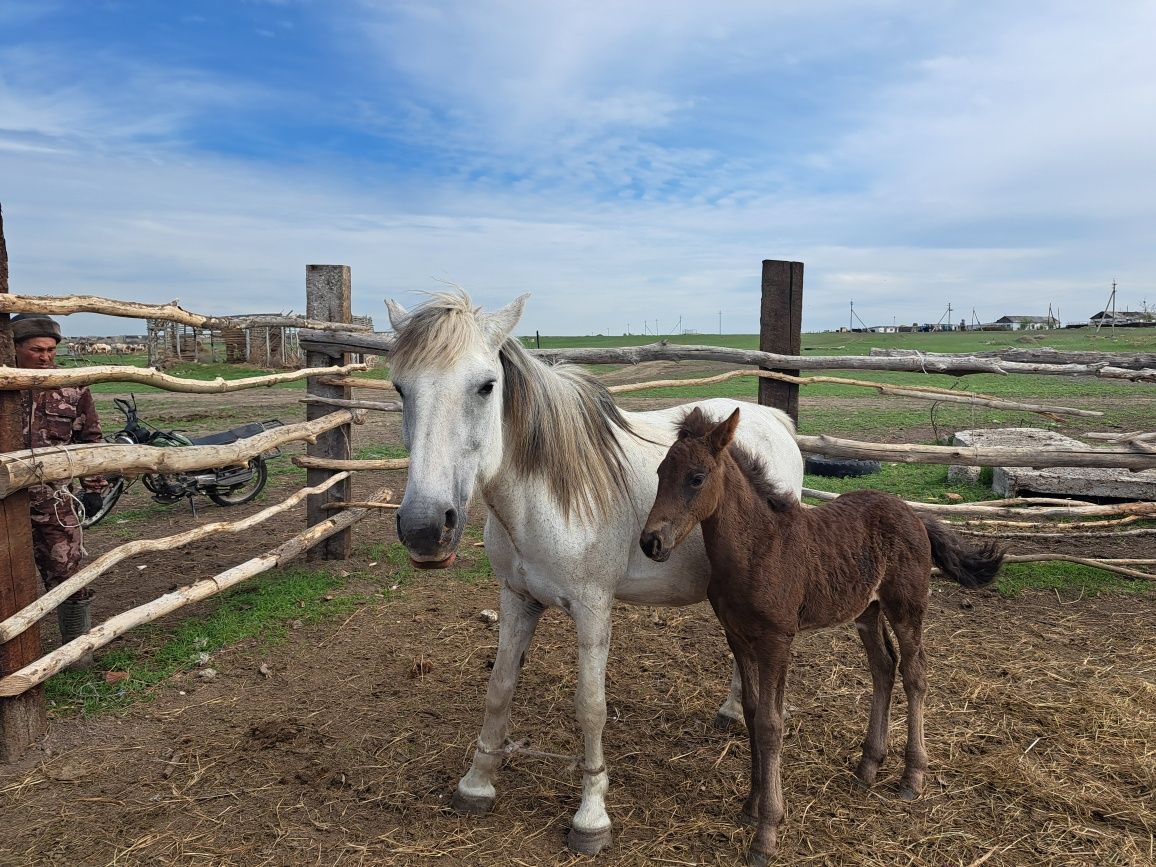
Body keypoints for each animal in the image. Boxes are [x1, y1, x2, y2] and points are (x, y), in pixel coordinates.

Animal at [383, 293, 799, 855]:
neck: (545, 497)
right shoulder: (516, 598)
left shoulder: (593, 608)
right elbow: (499, 688)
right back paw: (734, 710)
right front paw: (477, 782)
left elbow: (590, 706)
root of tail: (774, 419)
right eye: (399, 387)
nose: (426, 528)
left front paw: (591, 815)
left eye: (486, 385)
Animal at [638, 409, 1008, 867]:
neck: (757, 548)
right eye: (660, 472)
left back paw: (912, 776)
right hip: (866, 610)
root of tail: (913, 514)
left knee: (915, 673)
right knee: (883, 668)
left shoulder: (777, 640)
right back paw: (868, 766)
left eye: (696, 477)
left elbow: (771, 723)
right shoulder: (737, 636)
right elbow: (751, 713)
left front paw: (766, 832)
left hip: (906, 607)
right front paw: (750, 805)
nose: (651, 542)